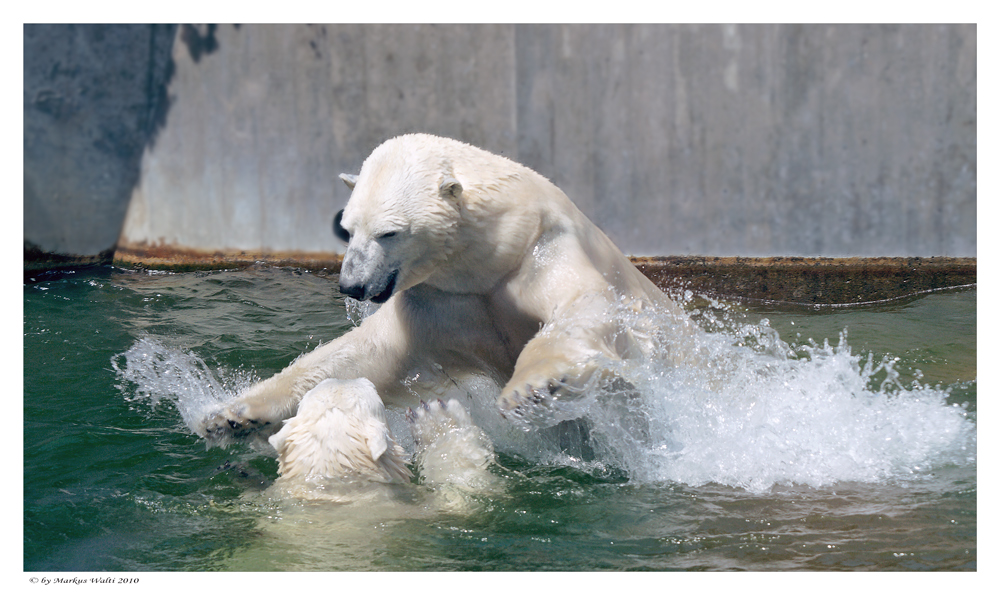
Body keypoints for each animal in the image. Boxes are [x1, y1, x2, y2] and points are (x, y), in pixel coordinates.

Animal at [199, 134, 692, 452]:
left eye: (389, 232)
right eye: (347, 227)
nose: (352, 285)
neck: (487, 260)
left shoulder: (540, 250)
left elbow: (583, 307)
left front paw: (529, 389)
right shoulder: (443, 300)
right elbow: (364, 356)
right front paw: (231, 415)